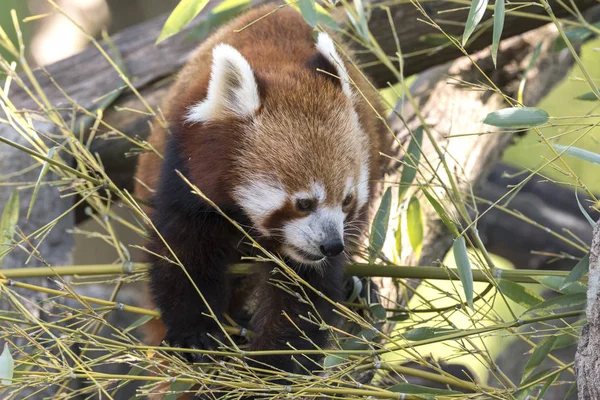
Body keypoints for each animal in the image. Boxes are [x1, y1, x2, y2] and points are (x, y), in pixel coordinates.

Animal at [134, 3, 386, 376]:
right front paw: (196, 334)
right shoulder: (187, 172)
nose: (331, 246)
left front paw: (275, 366)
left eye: (347, 201)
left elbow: (302, 293)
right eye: (304, 203)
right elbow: (183, 254)